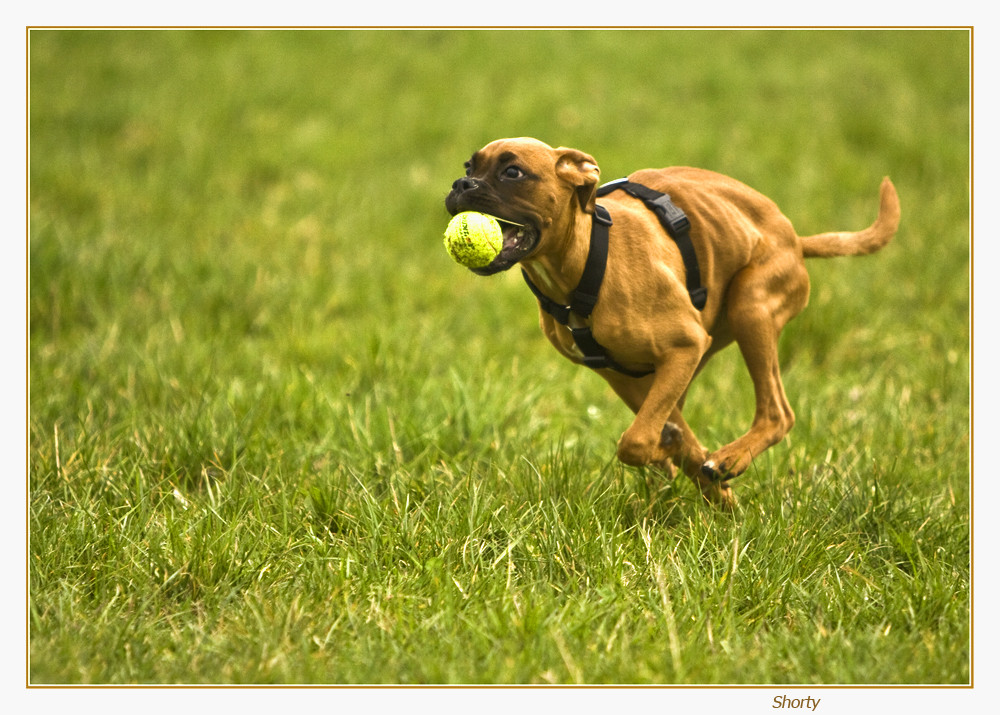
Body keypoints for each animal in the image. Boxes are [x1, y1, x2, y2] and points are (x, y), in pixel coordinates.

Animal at [446, 138, 900, 510]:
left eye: (513, 172)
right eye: (469, 166)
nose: (460, 184)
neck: (585, 261)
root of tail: (794, 239)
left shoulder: (683, 347)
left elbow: (635, 442)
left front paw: (690, 461)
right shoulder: (626, 375)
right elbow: (664, 435)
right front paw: (694, 467)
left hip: (751, 305)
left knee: (777, 413)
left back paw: (729, 460)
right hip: (704, 346)